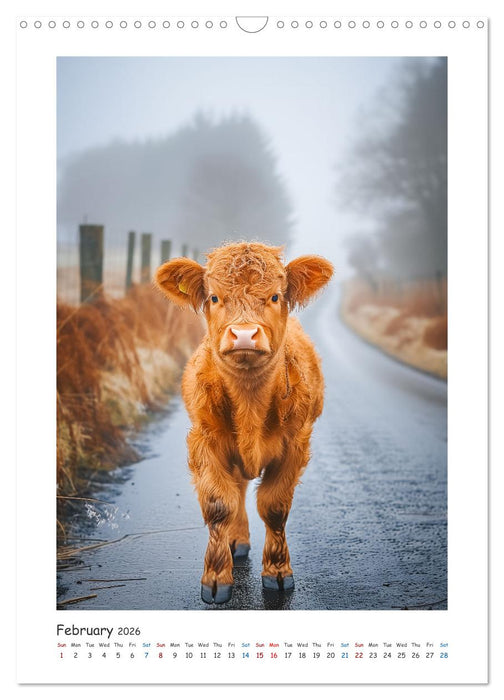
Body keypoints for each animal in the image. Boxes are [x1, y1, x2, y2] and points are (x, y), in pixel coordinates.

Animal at [155, 242, 333, 604]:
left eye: (276, 296)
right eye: (213, 297)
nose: (245, 334)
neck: (249, 402)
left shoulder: (295, 445)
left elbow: (274, 506)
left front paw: (278, 573)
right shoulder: (204, 442)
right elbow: (219, 505)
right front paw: (215, 579)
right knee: (235, 491)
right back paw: (235, 542)